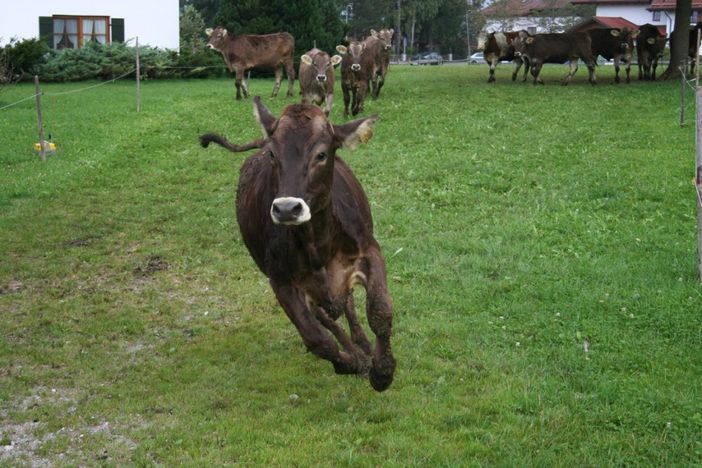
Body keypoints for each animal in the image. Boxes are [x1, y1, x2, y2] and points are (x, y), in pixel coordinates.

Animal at [199, 96, 396, 392]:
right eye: (273, 155)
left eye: (321, 154)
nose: (286, 209)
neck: (319, 245)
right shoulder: (281, 280)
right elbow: (317, 339)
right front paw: (353, 363)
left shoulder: (369, 250)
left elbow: (380, 311)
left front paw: (383, 371)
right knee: (326, 317)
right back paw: (357, 353)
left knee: (346, 306)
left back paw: (363, 344)